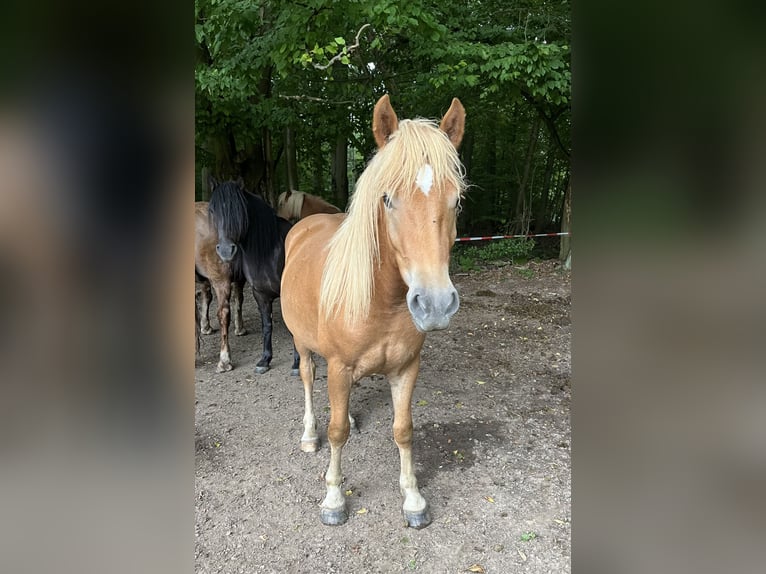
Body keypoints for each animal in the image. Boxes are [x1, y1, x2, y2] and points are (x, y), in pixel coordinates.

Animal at [210, 180, 300, 378]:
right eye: (212, 210)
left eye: (240, 210)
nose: (226, 251)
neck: (270, 250)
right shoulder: (260, 294)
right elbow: (266, 326)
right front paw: (265, 360)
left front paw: (298, 364)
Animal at [280, 95, 464, 532]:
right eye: (387, 199)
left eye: (456, 201)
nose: (434, 304)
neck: (383, 303)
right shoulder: (338, 366)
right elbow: (335, 433)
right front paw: (333, 499)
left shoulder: (406, 368)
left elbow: (403, 430)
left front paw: (413, 499)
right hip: (303, 344)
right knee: (309, 379)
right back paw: (308, 435)